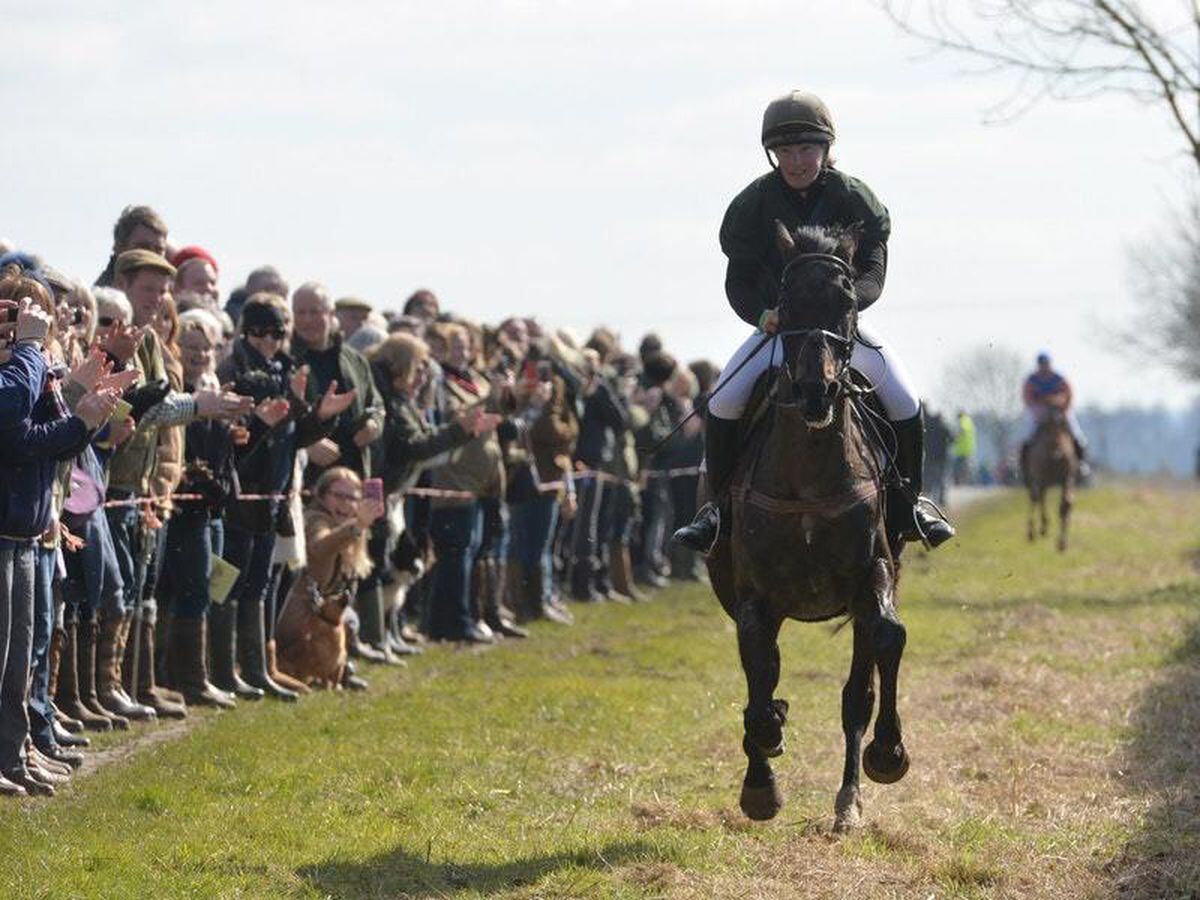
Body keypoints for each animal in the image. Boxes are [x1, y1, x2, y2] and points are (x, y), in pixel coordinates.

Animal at [700, 222, 907, 835]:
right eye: (787, 303)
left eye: (846, 301)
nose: (819, 391)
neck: (811, 471)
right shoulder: (753, 595)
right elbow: (759, 676)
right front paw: (761, 781)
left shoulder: (873, 576)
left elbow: (887, 640)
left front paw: (888, 754)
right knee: (763, 676)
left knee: (855, 694)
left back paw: (848, 800)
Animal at [1022, 410, 1080, 554]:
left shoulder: (1038, 477)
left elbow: (1037, 498)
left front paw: (1039, 529)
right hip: (1067, 477)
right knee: (1066, 502)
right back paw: (1062, 543)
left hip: (1040, 476)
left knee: (1036, 497)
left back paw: (1034, 532)